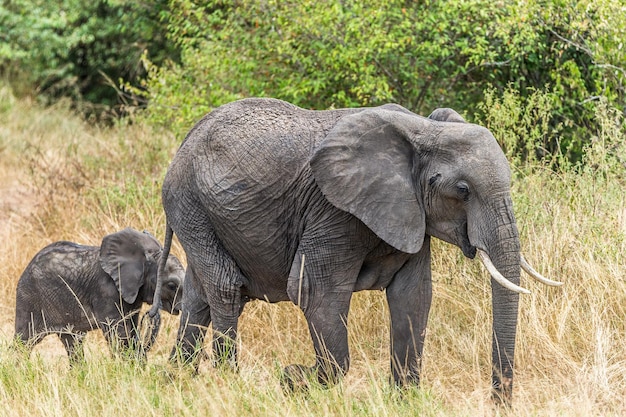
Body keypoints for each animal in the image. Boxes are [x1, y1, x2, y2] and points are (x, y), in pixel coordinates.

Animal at [13, 228, 184, 360]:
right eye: (171, 285)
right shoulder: (106, 292)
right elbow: (119, 334)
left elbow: (131, 329)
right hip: (29, 297)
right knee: (24, 340)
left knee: (73, 342)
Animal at [149, 96, 560, 404]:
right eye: (463, 191)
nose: (498, 402)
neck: (422, 131)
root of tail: (185, 140)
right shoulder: (333, 211)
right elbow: (316, 293)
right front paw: (293, 378)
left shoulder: (409, 213)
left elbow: (414, 296)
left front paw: (404, 401)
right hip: (189, 202)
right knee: (225, 288)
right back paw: (228, 383)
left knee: (199, 294)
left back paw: (177, 379)